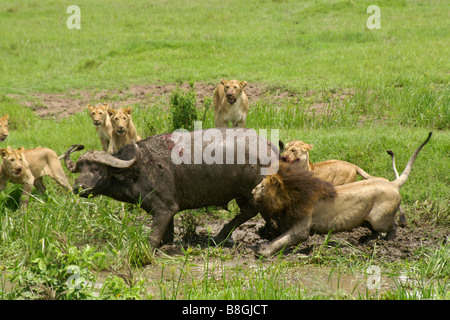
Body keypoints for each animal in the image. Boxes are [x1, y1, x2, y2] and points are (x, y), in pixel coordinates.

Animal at [64, 129, 280, 249]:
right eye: (80, 169)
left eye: (97, 169)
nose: (79, 187)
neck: (137, 169)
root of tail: (270, 146)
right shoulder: (164, 212)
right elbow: (167, 234)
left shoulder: (165, 208)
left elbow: (153, 236)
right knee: (250, 212)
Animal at [253, 132, 432, 258]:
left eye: (262, 185)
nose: (252, 191)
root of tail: (391, 184)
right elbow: (281, 238)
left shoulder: (302, 228)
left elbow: (282, 240)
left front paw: (263, 250)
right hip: (366, 219)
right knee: (375, 231)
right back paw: (366, 241)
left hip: (379, 219)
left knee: (392, 227)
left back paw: (386, 242)